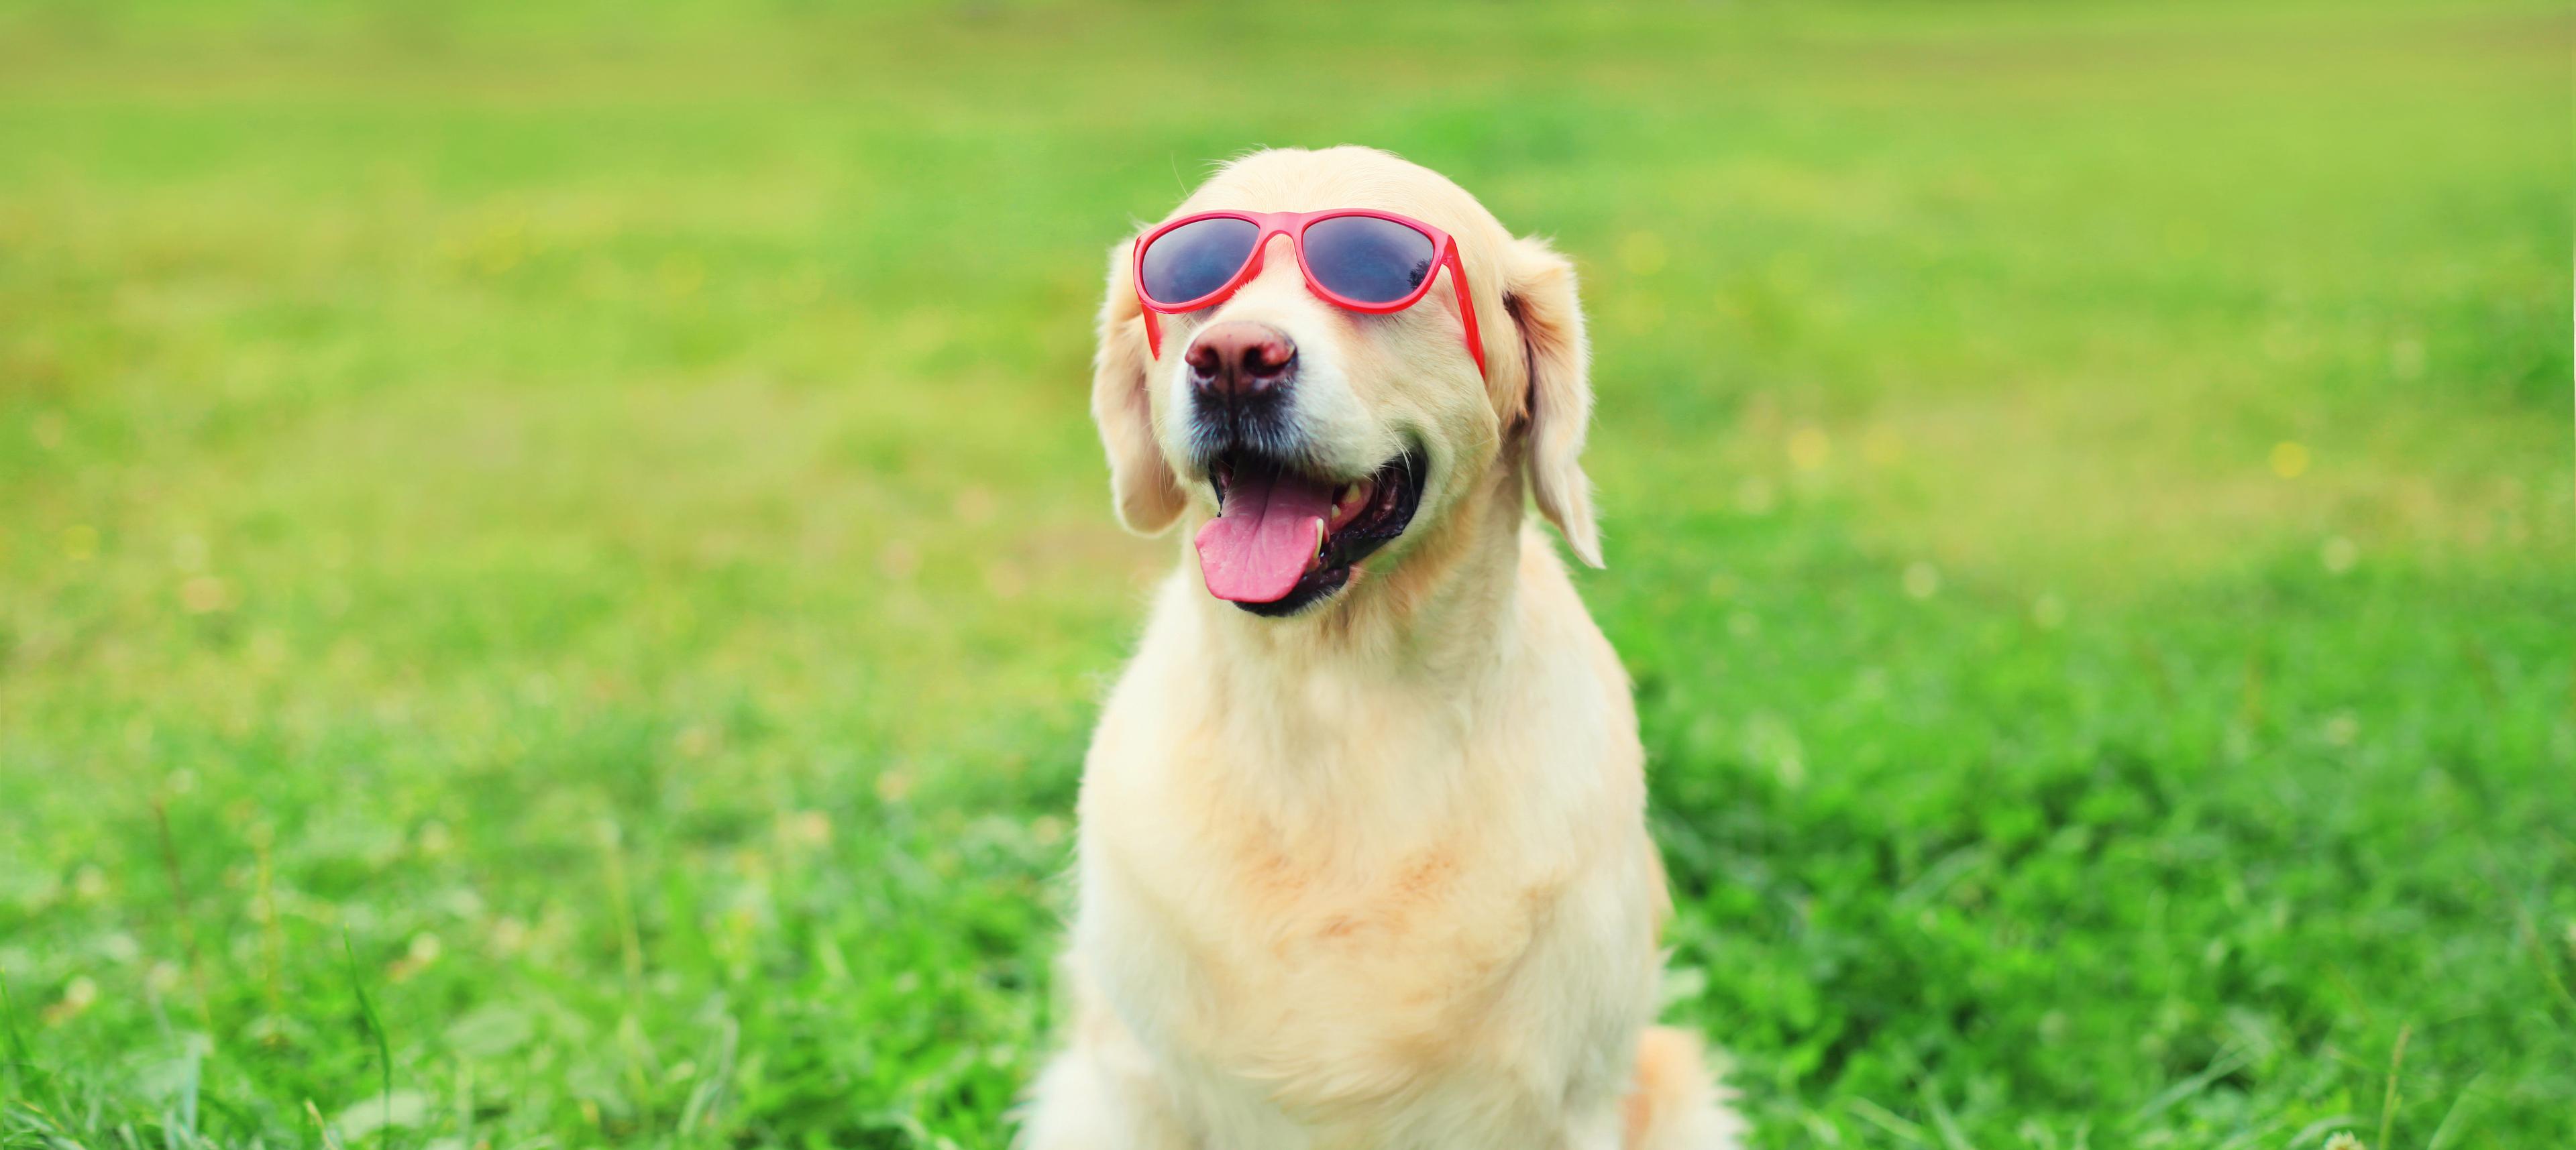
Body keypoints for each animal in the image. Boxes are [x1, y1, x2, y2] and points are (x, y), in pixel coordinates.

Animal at [1014, 148, 1741, 1147]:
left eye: (1379, 269)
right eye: (1195, 274)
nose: (1233, 359)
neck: (1342, 697)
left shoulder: (1571, 1097)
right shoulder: (1136, 1083)